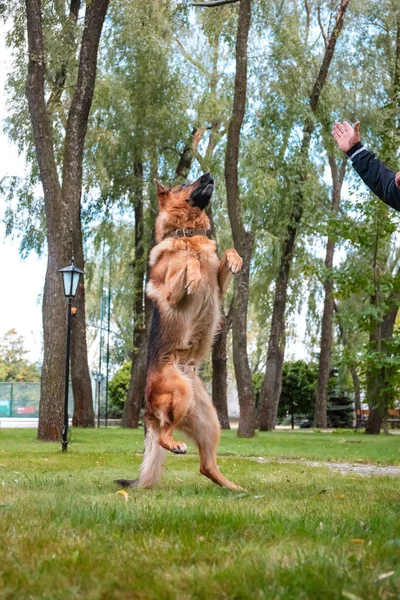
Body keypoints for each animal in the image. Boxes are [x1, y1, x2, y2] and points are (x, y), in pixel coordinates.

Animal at [114, 171, 242, 490]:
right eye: (184, 184)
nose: (208, 174)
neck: (186, 232)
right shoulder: (171, 290)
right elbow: (188, 263)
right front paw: (193, 271)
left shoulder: (219, 285)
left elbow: (227, 254)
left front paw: (235, 259)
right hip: (180, 394)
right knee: (162, 436)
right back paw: (174, 444)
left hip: (210, 421)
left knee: (206, 466)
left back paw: (234, 488)